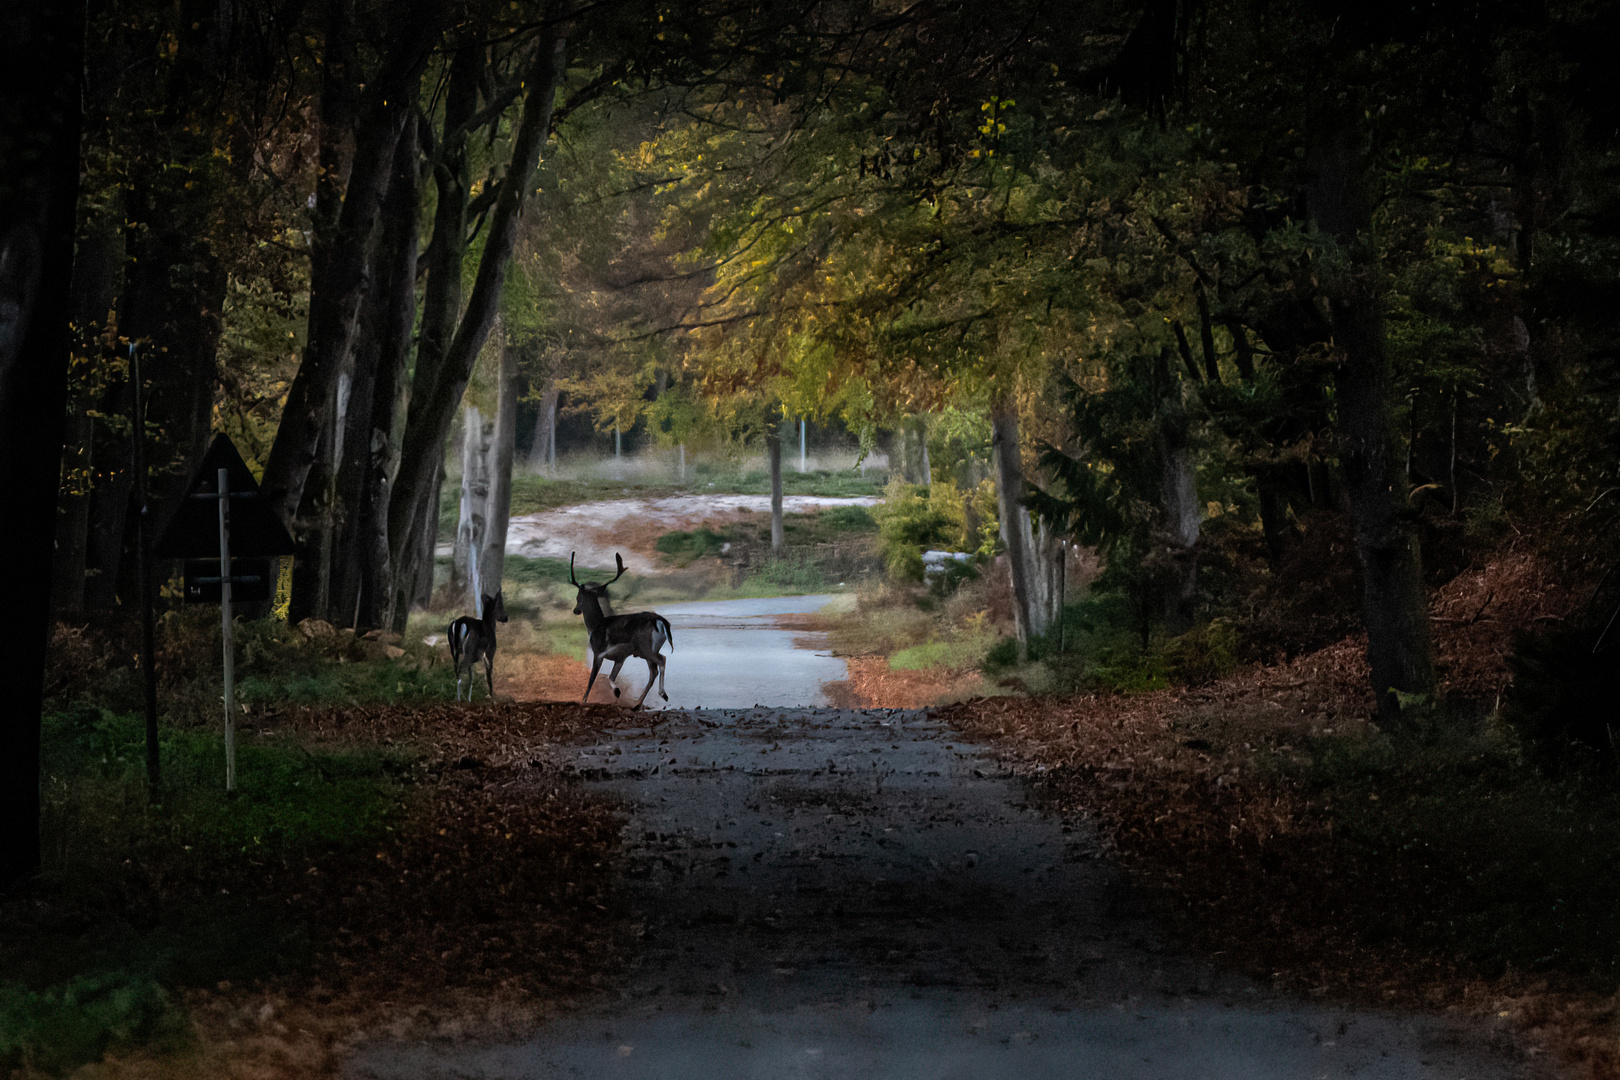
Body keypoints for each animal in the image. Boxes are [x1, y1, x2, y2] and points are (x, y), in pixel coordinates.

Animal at [570, 557, 670, 709]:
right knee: (653, 672)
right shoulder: (620, 658)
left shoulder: (598, 652)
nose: (576, 610)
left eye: (578, 597)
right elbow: (611, 676)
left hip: (646, 648)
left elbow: (592, 678)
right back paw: (637, 703)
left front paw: (584, 699)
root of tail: (659, 621)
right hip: (646, 652)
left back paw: (663, 694)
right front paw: (617, 692)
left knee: (662, 660)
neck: (594, 625)